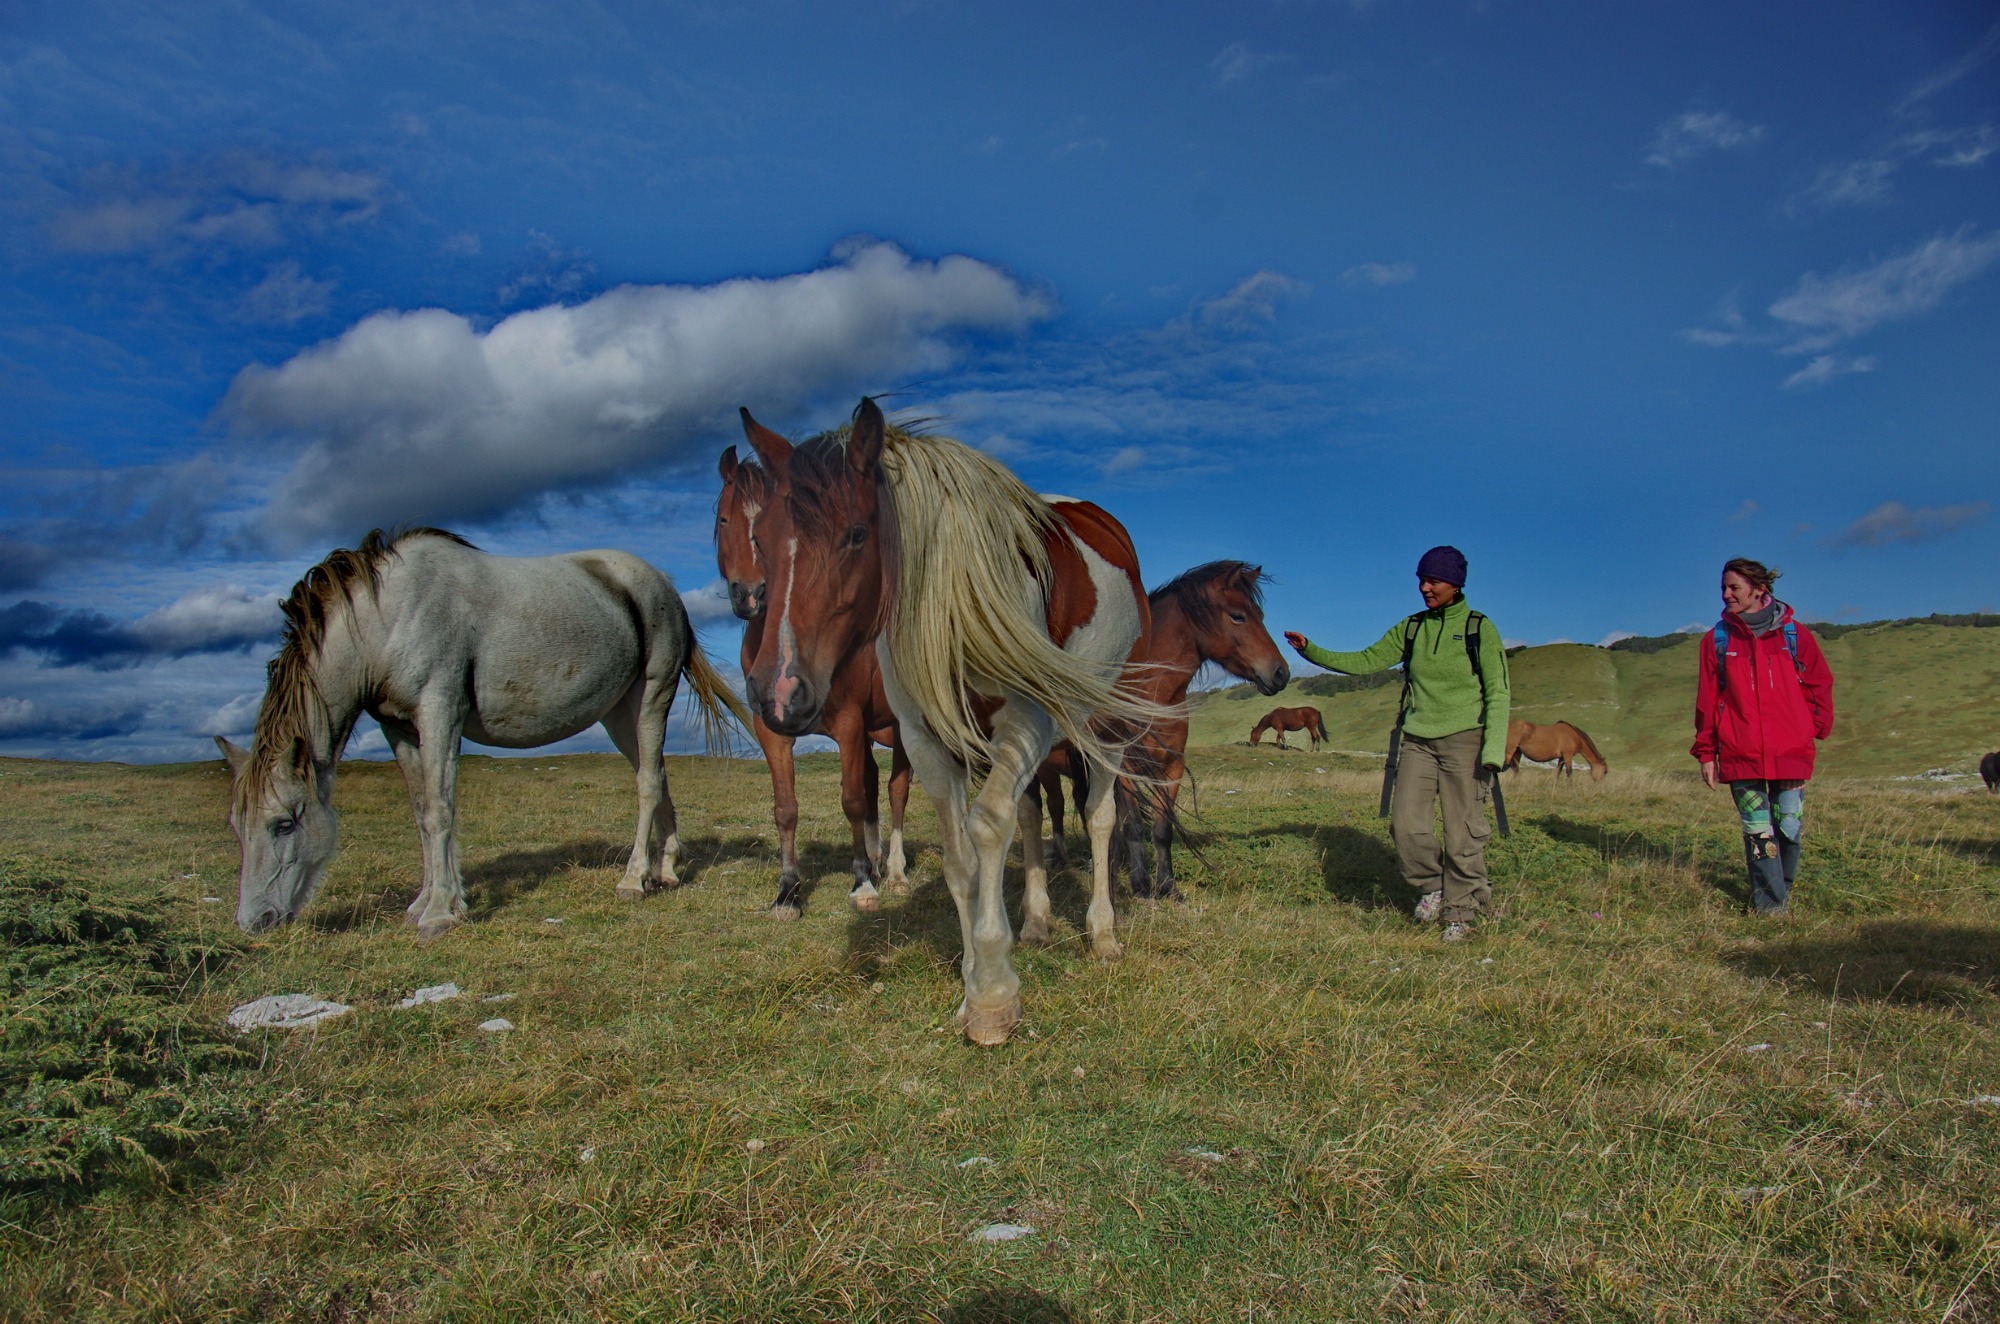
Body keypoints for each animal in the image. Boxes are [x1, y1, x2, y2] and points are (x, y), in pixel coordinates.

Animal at [217, 528, 746, 938]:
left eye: (284, 823)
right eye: (237, 827)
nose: (254, 922)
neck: (387, 616)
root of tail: (664, 586)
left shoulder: (439, 713)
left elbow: (439, 810)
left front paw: (438, 913)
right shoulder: (399, 728)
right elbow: (421, 813)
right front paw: (429, 901)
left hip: (652, 697)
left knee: (648, 785)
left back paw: (633, 880)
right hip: (621, 716)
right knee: (656, 775)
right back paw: (667, 871)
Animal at [718, 432, 911, 918]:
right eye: (726, 517)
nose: (752, 595)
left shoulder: (848, 724)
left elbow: (852, 799)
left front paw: (862, 883)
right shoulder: (771, 729)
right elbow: (786, 807)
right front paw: (788, 890)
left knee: (896, 789)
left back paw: (895, 872)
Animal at [737, 398, 1168, 1045]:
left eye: (855, 533)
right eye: (760, 540)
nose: (777, 693)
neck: (956, 599)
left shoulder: (1029, 721)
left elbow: (988, 828)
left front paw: (993, 995)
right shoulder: (926, 738)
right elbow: (960, 854)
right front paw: (974, 983)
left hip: (1106, 725)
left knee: (1098, 818)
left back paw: (1102, 933)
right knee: (1031, 817)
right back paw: (1036, 922)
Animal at [1026, 562, 1289, 901]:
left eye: (1260, 615)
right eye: (1238, 616)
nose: (1281, 673)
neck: (1150, 695)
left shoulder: (1171, 767)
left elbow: (1162, 828)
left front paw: (1167, 886)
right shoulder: (1122, 769)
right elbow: (1133, 825)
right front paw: (1139, 884)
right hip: (1045, 770)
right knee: (1056, 809)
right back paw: (1062, 859)